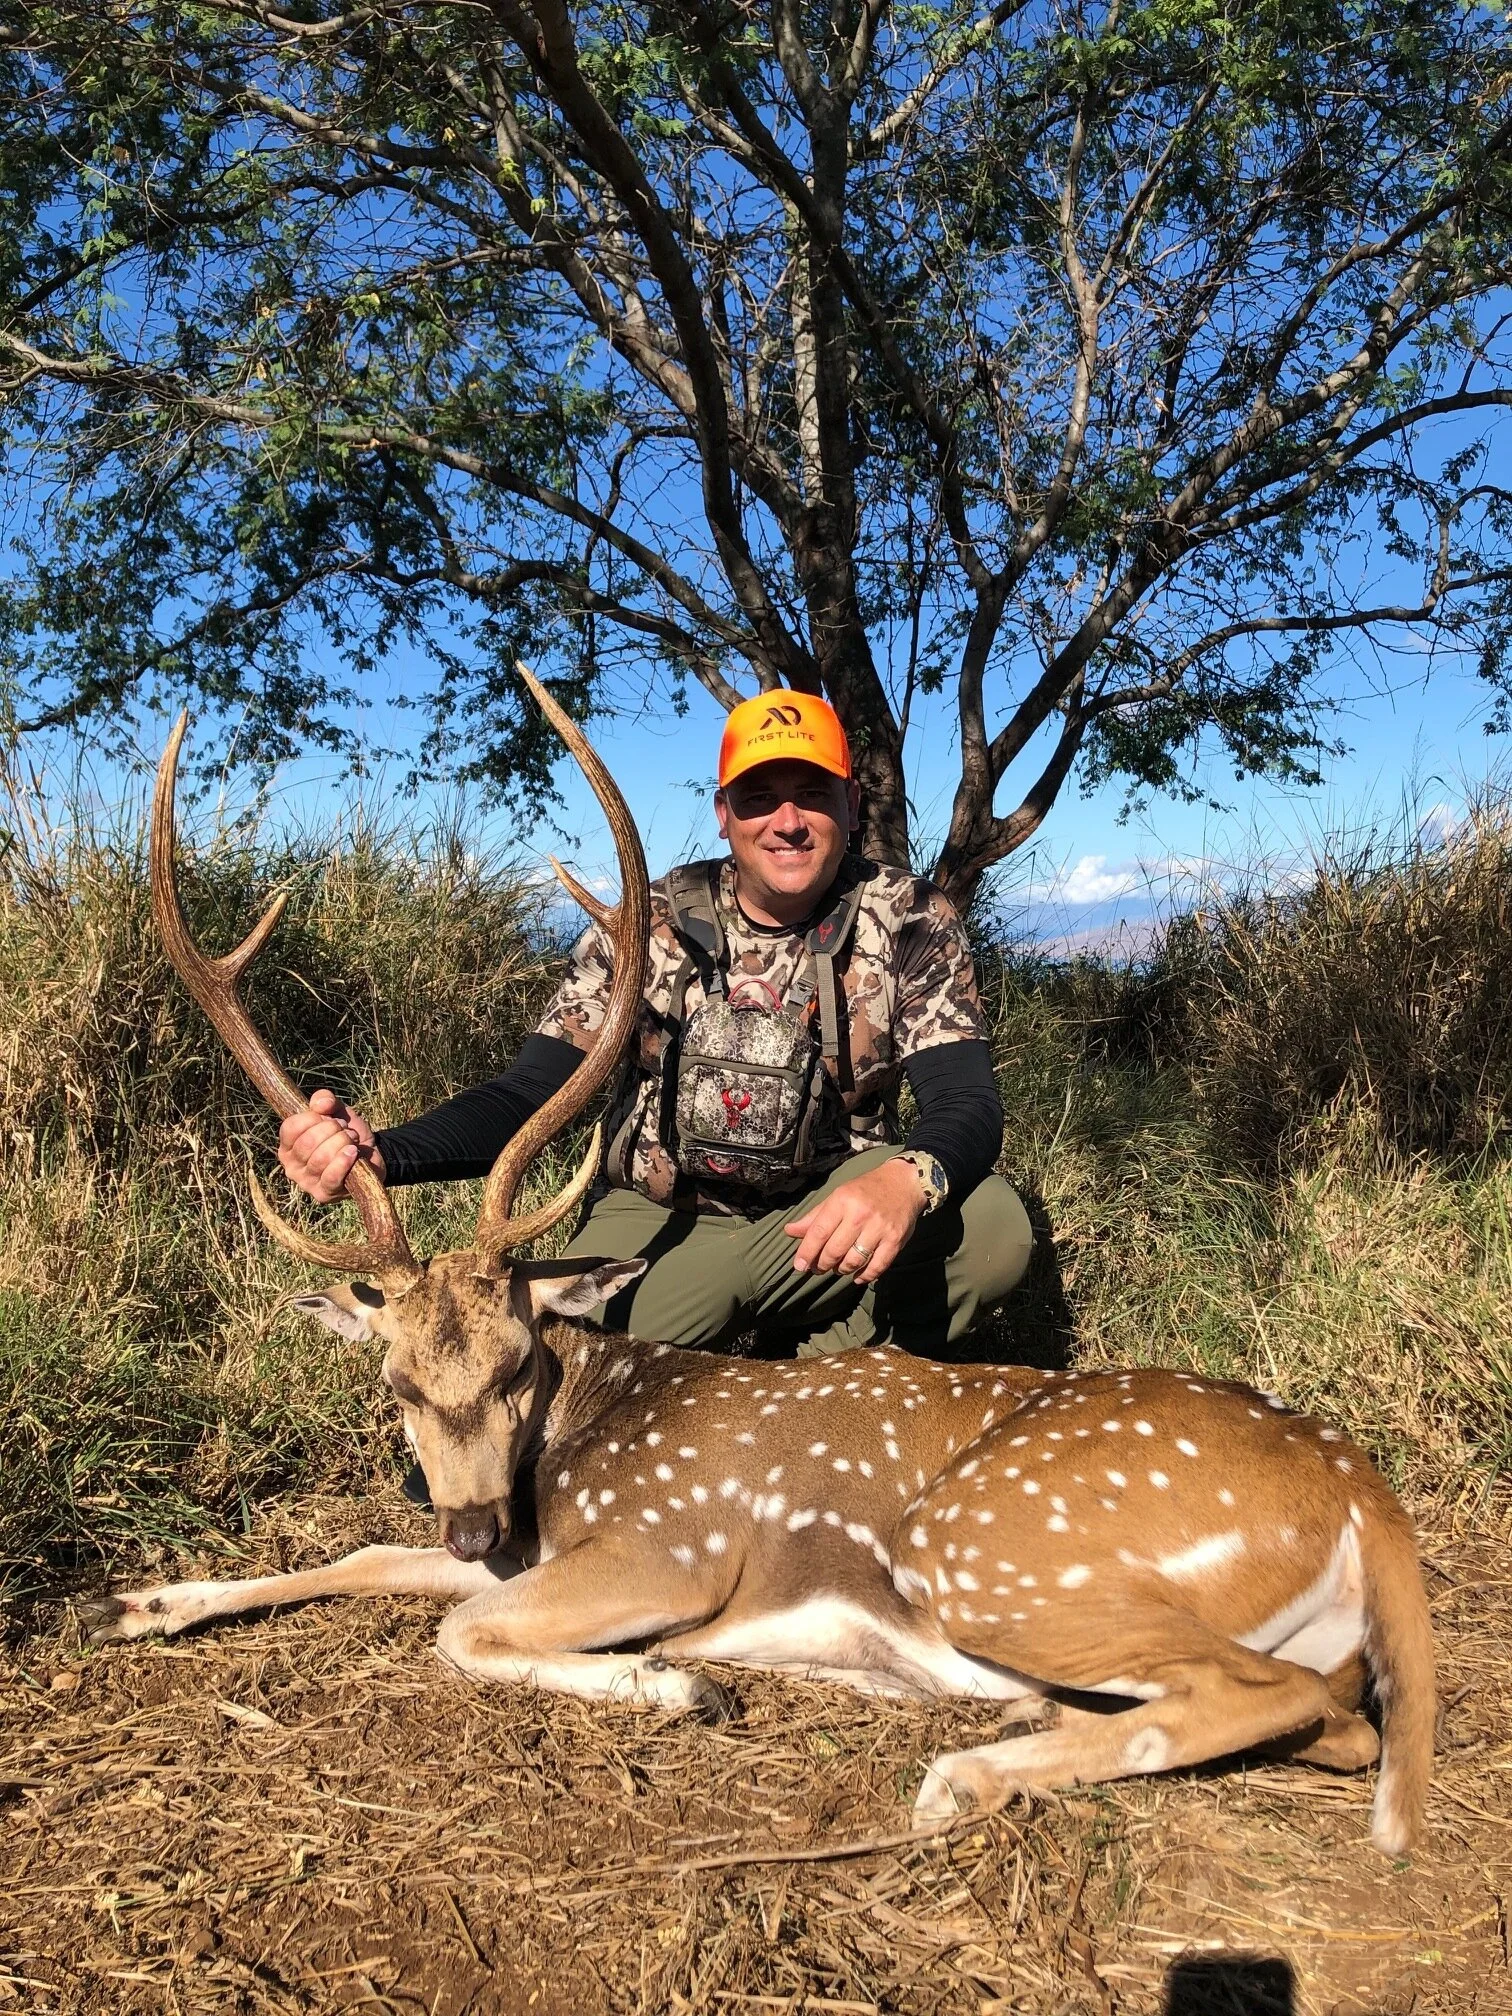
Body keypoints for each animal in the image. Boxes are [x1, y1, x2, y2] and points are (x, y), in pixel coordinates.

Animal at [78, 669, 1435, 1857]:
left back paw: (963, 1768)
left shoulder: (669, 1545)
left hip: (995, 1549)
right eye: (397, 1384)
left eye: (519, 1365)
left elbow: (460, 1629)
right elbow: (369, 1558)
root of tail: (1360, 1489)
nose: (467, 1523)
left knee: (1300, 1707)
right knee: (1319, 1716)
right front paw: (142, 1604)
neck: (567, 1453)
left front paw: (679, 1687)